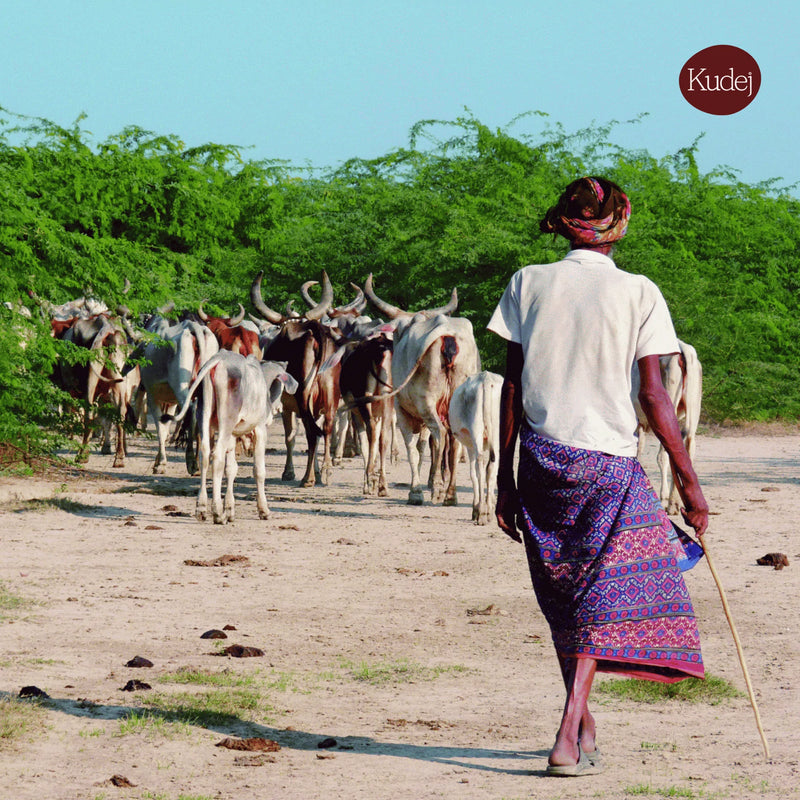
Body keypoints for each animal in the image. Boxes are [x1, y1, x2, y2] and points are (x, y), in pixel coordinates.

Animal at [164, 351, 298, 524]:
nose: (279, 407)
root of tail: (219, 358)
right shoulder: (260, 429)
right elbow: (259, 471)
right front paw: (263, 510)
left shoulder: (233, 436)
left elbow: (231, 469)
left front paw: (230, 509)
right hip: (226, 419)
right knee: (217, 456)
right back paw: (217, 513)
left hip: (204, 416)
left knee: (204, 455)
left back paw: (201, 508)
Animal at [251, 270, 345, 488]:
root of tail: (314, 332)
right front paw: (317, 471)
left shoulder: (287, 407)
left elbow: (290, 437)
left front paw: (289, 472)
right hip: (330, 395)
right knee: (325, 428)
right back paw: (325, 471)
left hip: (302, 397)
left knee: (312, 433)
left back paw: (307, 478)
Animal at [363, 274, 481, 506]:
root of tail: (446, 333)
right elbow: (422, 447)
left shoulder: (403, 413)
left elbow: (412, 449)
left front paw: (415, 491)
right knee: (453, 443)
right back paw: (450, 494)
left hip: (425, 402)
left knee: (441, 434)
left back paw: (436, 487)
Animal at [448, 371, 503, 525]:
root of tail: (486, 378)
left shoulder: (470, 446)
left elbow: (473, 474)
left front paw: (477, 507)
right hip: (493, 433)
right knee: (490, 467)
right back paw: (486, 511)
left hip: (476, 432)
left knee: (481, 464)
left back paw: (482, 512)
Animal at [632, 340, 703, 514]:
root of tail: (683, 348)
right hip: (692, 412)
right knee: (685, 452)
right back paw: (676, 502)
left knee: (665, 456)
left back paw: (667, 501)